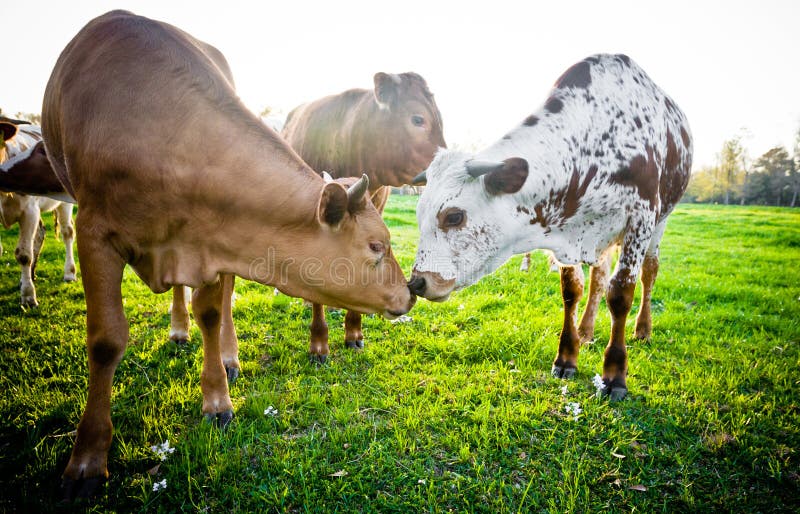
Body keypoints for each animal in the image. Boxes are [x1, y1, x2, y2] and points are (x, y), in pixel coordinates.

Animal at [1, 121, 76, 307]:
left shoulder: (29, 211)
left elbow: (24, 254)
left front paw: (28, 296)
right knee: (40, 234)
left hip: (62, 205)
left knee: (67, 233)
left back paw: (69, 273)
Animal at [42, 10, 415, 498]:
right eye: (376, 246)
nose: (411, 292)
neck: (167, 136)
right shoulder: (94, 232)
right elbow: (106, 341)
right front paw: (87, 459)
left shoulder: (212, 239)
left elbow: (212, 313)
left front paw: (217, 399)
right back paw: (179, 330)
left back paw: (228, 355)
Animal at [409, 54, 692, 401]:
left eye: (454, 216)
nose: (417, 283)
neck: (593, 144)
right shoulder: (568, 229)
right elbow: (573, 291)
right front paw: (567, 356)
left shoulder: (641, 217)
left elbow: (621, 294)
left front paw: (614, 374)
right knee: (598, 279)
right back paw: (586, 330)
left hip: (659, 224)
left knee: (649, 274)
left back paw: (642, 329)